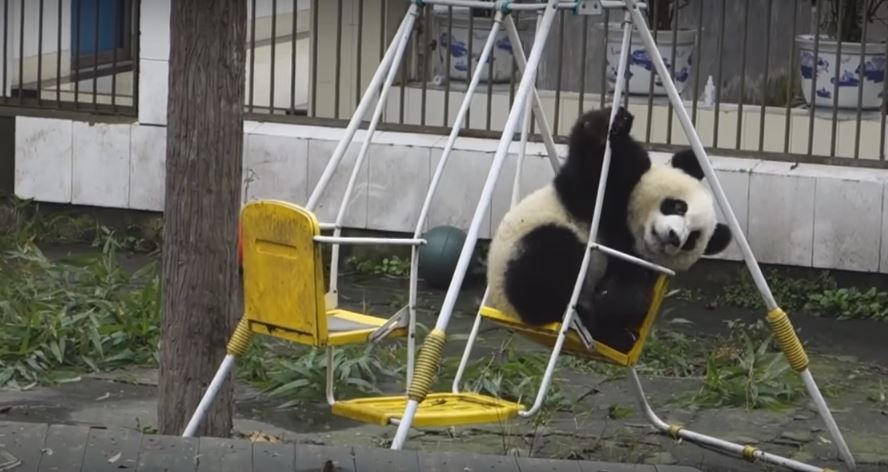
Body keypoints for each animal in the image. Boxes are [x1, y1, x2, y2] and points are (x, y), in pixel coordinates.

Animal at [486, 105, 728, 352]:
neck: (631, 231)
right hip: (516, 252)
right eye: (679, 206)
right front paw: (612, 124)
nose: (673, 237)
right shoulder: (597, 195)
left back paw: (611, 332)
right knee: (548, 256)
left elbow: (629, 293)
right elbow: (590, 166)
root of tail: (506, 308)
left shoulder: (636, 261)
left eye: (692, 239)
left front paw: (614, 306)